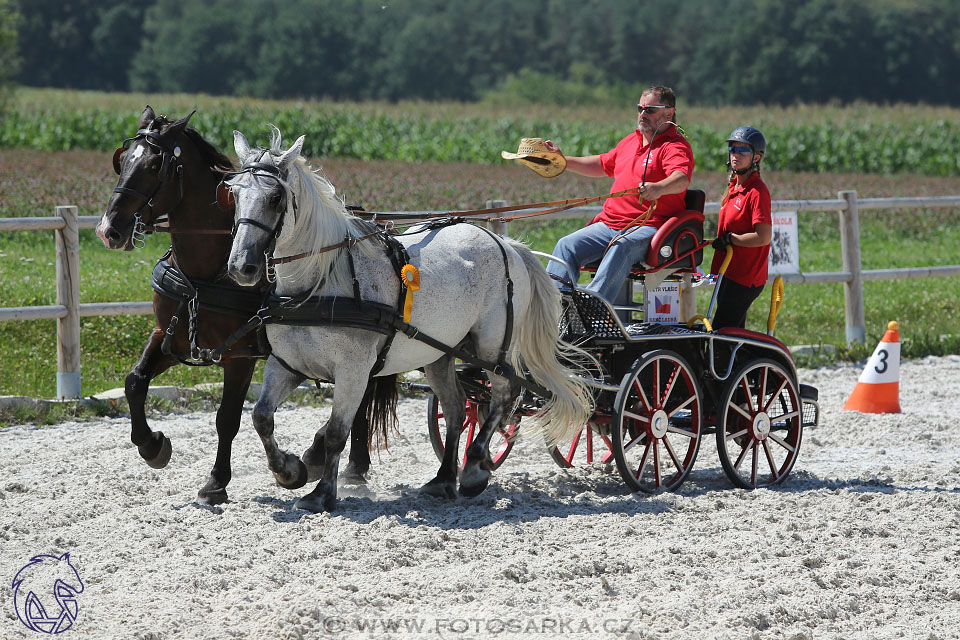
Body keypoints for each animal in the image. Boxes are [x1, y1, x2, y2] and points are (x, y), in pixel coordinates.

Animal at [94, 106, 386, 504]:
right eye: (122, 161)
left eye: (155, 165)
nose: (109, 230)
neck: (208, 272)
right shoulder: (168, 336)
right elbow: (134, 383)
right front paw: (152, 446)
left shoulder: (240, 355)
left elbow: (227, 417)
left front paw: (217, 482)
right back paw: (343, 462)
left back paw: (334, 459)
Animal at [225, 129, 592, 510]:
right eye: (234, 193)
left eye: (275, 197)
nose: (241, 267)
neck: (318, 284)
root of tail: (506, 244)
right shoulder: (287, 364)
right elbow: (261, 417)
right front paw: (290, 470)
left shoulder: (353, 371)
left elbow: (337, 433)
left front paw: (321, 494)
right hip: (441, 351)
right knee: (457, 408)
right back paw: (443, 480)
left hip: (492, 347)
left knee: (504, 395)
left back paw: (474, 468)